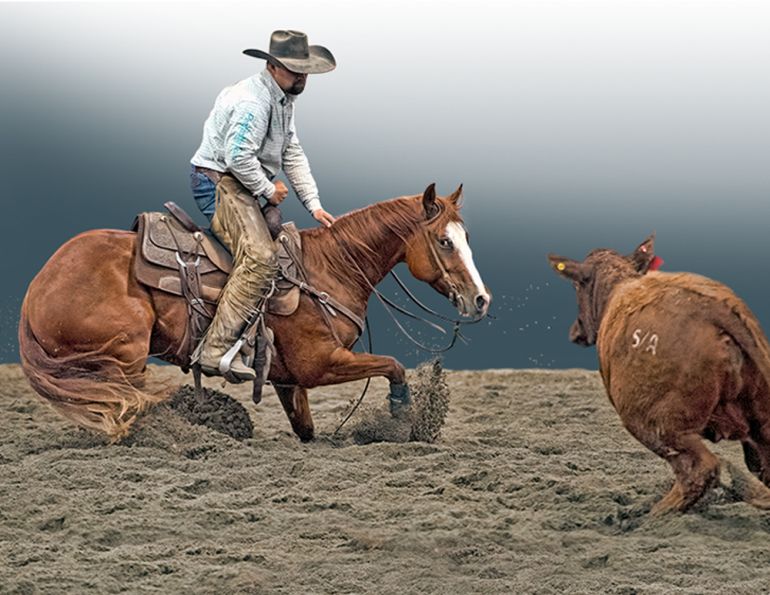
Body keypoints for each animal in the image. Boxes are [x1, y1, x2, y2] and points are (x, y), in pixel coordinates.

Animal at [19, 183, 490, 442]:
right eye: (444, 241)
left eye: (466, 236)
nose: (481, 299)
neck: (327, 268)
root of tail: (35, 290)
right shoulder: (320, 364)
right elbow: (393, 365)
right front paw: (401, 415)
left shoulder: (287, 379)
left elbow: (306, 431)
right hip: (126, 356)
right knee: (126, 407)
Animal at [549, 235, 770, 513]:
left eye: (577, 285)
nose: (575, 331)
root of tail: (709, 307)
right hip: (761, 420)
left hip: (651, 422)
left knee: (699, 468)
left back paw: (655, 513)